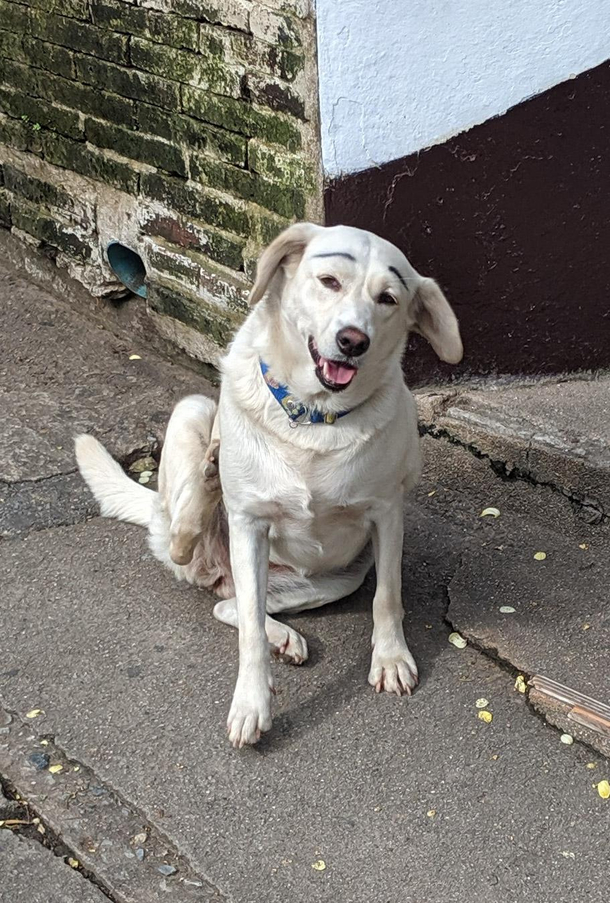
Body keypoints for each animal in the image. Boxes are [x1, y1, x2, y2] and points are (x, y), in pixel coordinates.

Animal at [78, 224, 464, 748]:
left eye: (388, 298)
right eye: (329, 281)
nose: (353, 340)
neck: (315, 417)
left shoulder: (386, 514)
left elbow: (387, 597)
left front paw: (390, 658)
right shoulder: (250, 524)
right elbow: (249, 639)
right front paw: (251, 703)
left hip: (333, 580)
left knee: (233, 607)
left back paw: (283, 635)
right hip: (193, 416)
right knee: (191, 545)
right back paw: (207, 482)